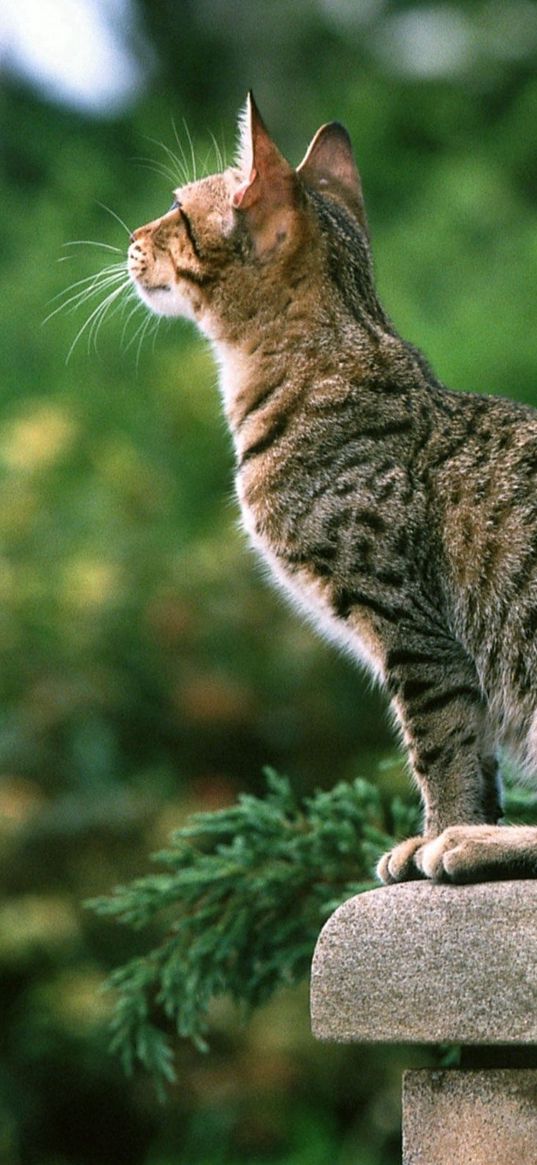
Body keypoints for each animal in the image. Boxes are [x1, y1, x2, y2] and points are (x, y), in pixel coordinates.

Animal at [126, 93, 537, 880]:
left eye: (176, 209)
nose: (132, 236)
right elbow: (476, 760)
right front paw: (456, 827)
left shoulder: (414, 631)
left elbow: (441, 750)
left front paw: (447, 830)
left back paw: (478, 845)